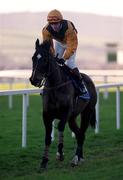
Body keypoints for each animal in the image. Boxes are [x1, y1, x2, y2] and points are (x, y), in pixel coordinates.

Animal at [29, 38, 97, 168]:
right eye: (33, 58)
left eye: (45, 59)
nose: (34, 80)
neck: (56, 85)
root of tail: (90, 80)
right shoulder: (47, 115)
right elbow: (47, 137)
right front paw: (44, 161)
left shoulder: (66, 112)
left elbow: (60, 126)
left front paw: (60, 153)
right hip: (72, 118)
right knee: (79, 134)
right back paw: (79, 158)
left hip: (87, 112)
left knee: (82, 134)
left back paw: (75, 158)